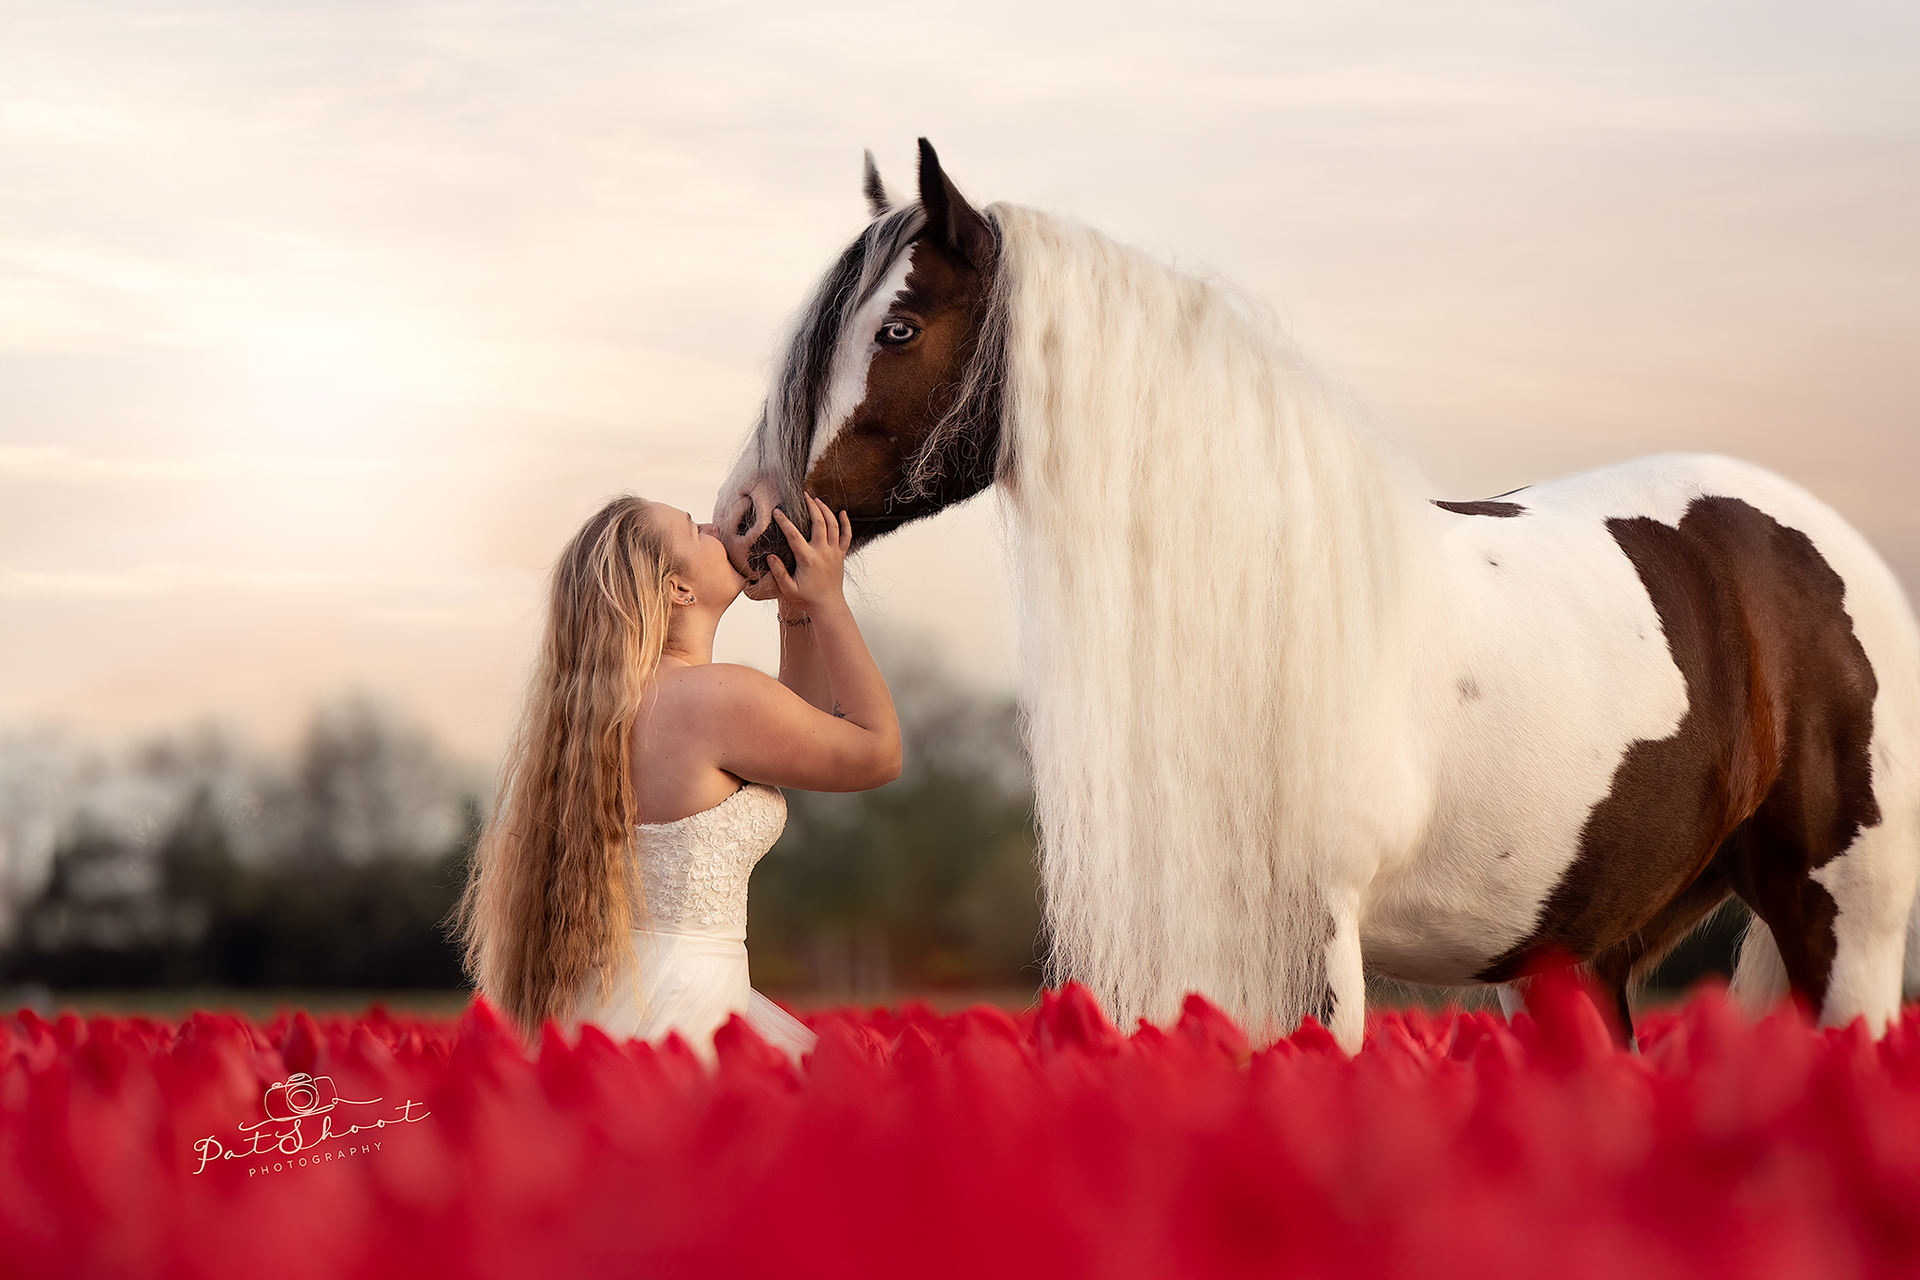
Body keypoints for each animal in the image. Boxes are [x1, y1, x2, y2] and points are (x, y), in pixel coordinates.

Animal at [715, 139, 1920, 1053]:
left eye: (899, 328)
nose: (746, 520)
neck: (1257, 596)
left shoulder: (1318, 939)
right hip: (1578, 960)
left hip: (1844, 930)